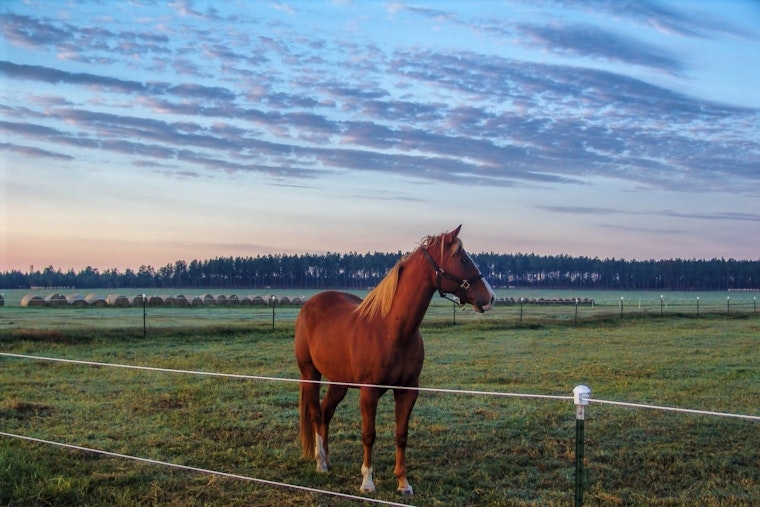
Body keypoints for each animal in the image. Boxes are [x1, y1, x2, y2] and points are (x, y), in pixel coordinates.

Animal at [294, 225, 495, 495]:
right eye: (463, 259)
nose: (490, 297)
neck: (392, 329)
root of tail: (310, 305)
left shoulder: (408, 390)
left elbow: (402, 434)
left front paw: (403, 482)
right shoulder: (369, 392)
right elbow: (369, 434)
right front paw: (367, 482)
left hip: (339, 381)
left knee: (327, 412)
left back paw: (327, 457)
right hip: (310, 375)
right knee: (316, 413)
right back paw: (320, 462)